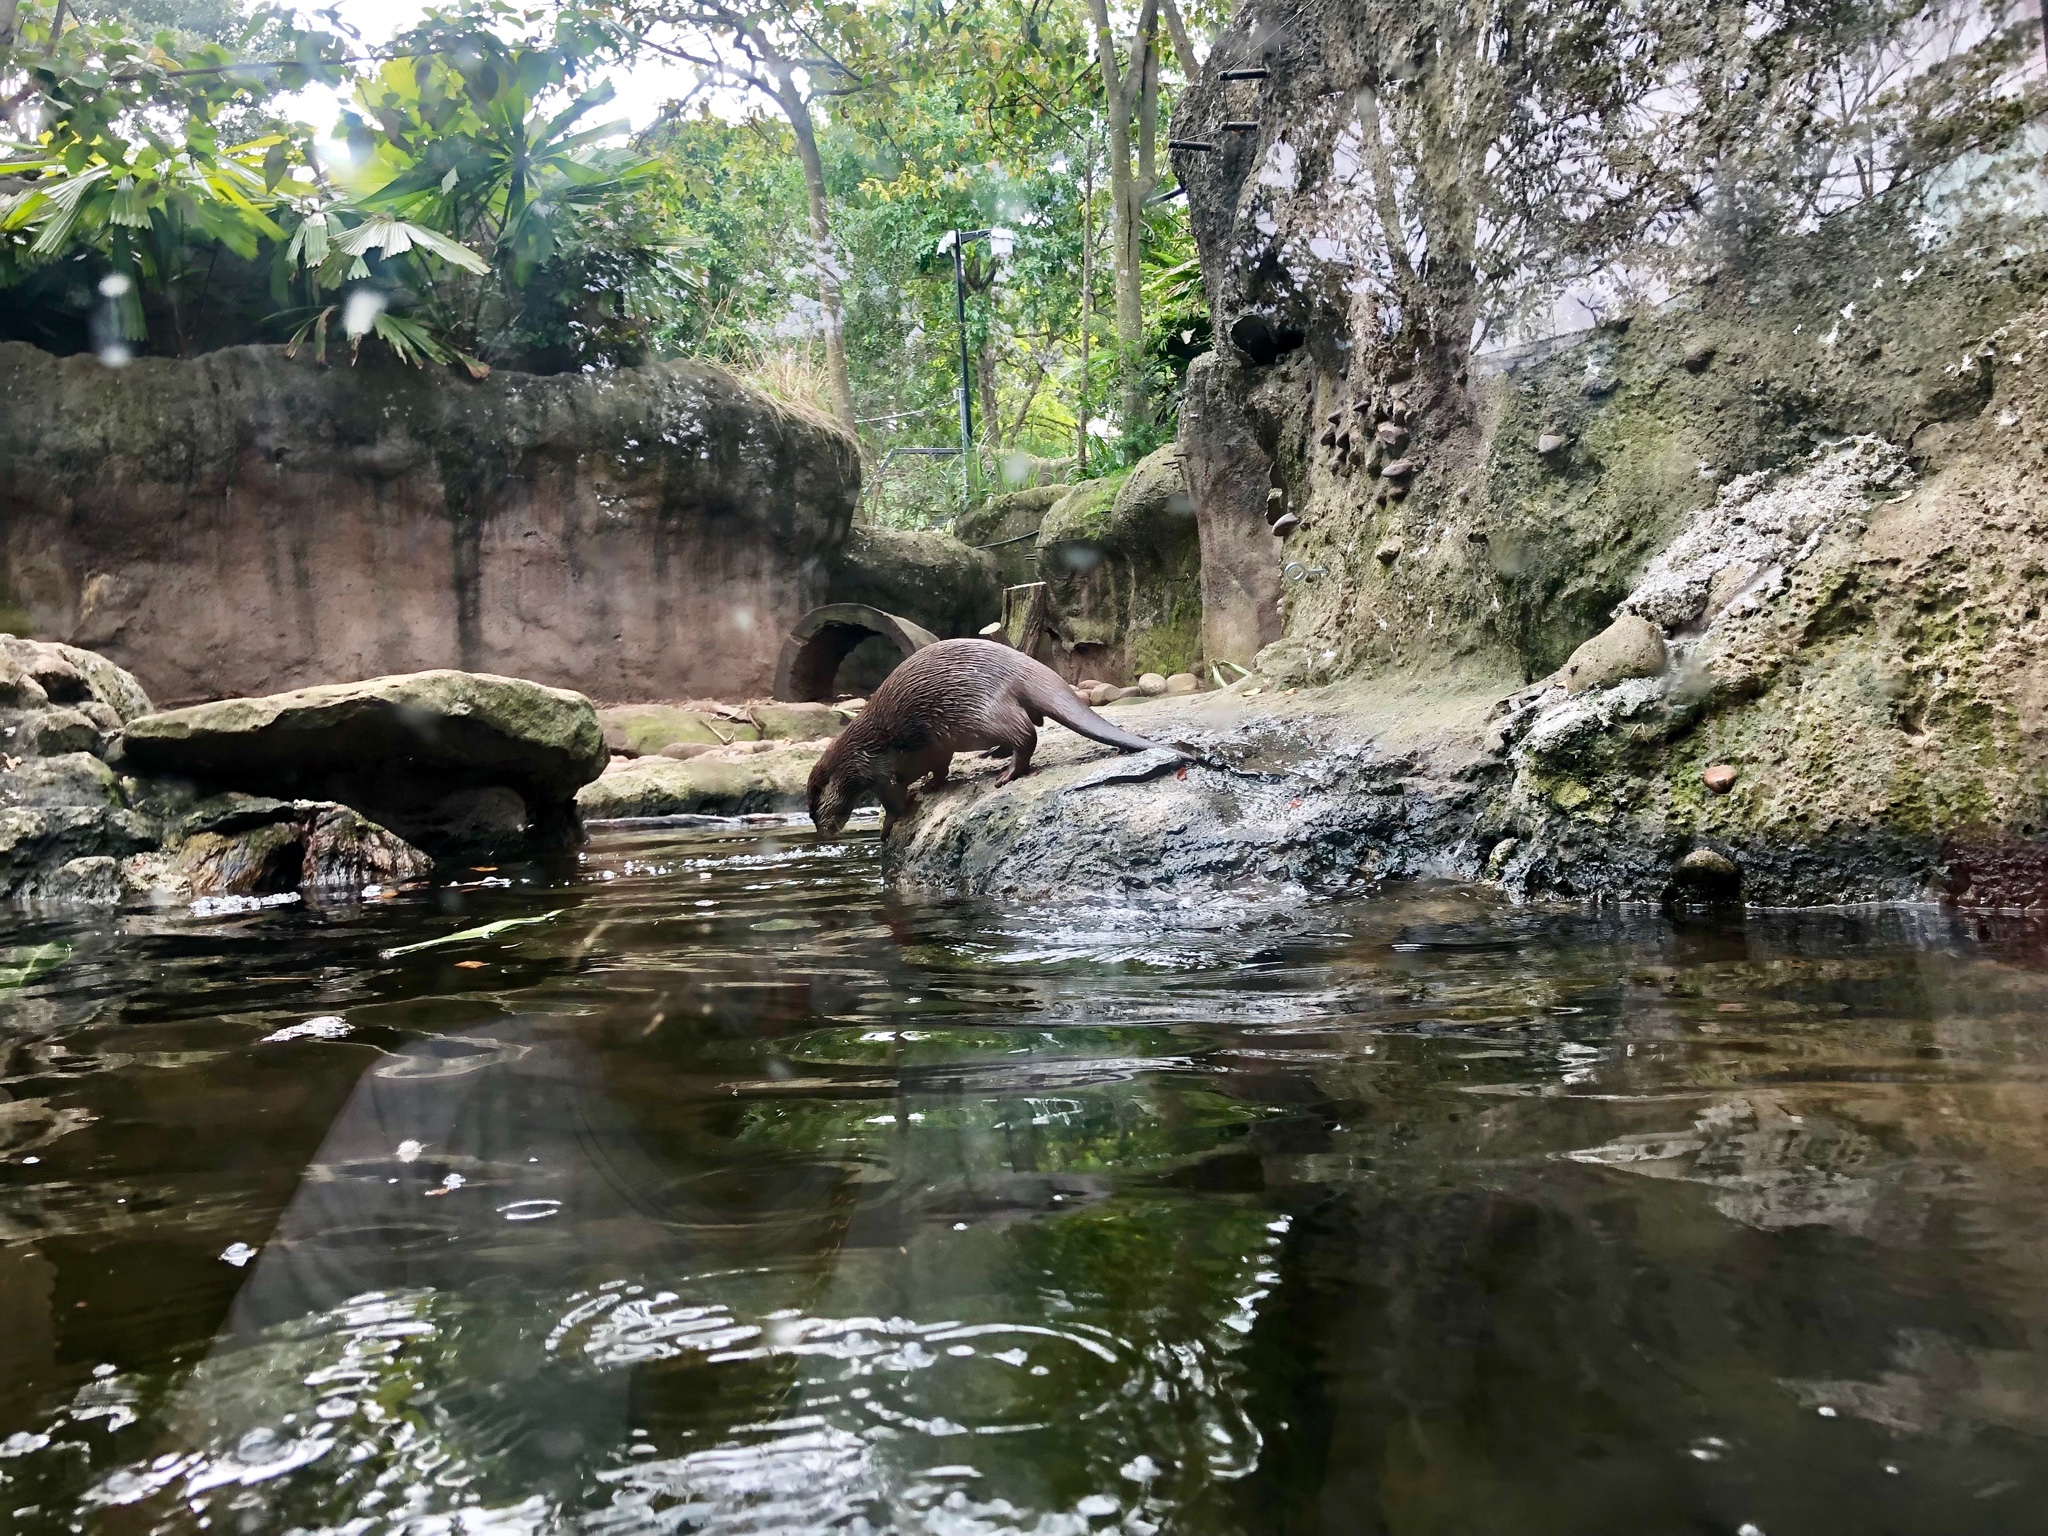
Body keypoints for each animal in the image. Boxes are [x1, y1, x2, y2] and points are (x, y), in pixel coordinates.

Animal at [806, 638, 1179, 835]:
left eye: (813, 811)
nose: (822, 834)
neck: (850, 757)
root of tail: (1024, 666)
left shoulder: (873, 768)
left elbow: (895, 801)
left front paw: (886, 828)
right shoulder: (931, 749)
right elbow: (939, 767)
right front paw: (930, 785)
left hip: (983, 712)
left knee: (1026, 733)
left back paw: (1008, 772)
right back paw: (995, 756)